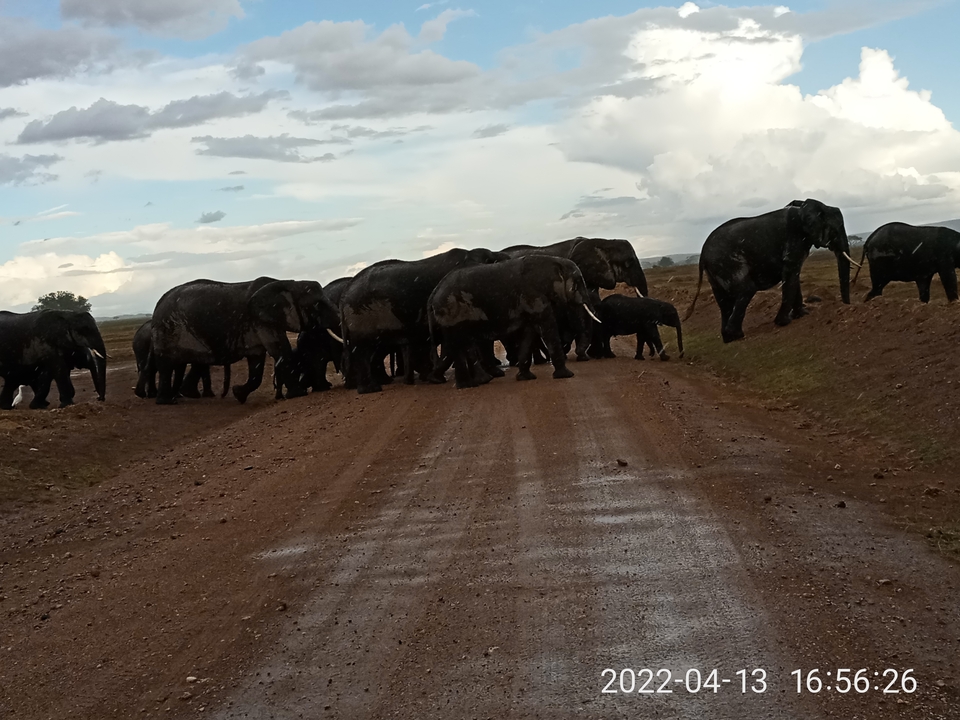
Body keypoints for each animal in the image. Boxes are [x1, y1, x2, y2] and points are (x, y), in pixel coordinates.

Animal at [149, 277, 341, 404]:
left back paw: (189, 394)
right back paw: (167, 402)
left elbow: (257, 361)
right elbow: (280, 350)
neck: (288, 284)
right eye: (317, 304)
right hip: (167, 330)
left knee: (198, 361)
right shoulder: (260, 320)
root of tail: (158, 303)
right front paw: (298, 394)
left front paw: (238, 394)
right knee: (166, 364)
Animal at [340, 248, 508, 394]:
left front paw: (434, 378)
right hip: (362, 317)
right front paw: (491, 376)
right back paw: (371, 389)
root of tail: (345, 293)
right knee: (363, 350)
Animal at [427, 256, 600, 388]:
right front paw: (566, 375)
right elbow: (547, 328)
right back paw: (469, 384)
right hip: (452, 309)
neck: (554, 262)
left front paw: (526, 378)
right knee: (458, 343)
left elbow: (529, 332)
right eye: (578, 282)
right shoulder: (534, 295)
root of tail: (434, 292)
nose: (583, 357)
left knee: (459, 343)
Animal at [685, 198, 855, 343]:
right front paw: (784, 322)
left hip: (715, 271)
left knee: (723, 300)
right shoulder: (794, 239)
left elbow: (793, 276)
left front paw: (802, 315)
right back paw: (737, 335)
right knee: (747, 290)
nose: (846, 305)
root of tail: (702, 254)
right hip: (727, 263)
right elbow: (791, 274)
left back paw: (728, 338)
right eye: (836, 229)